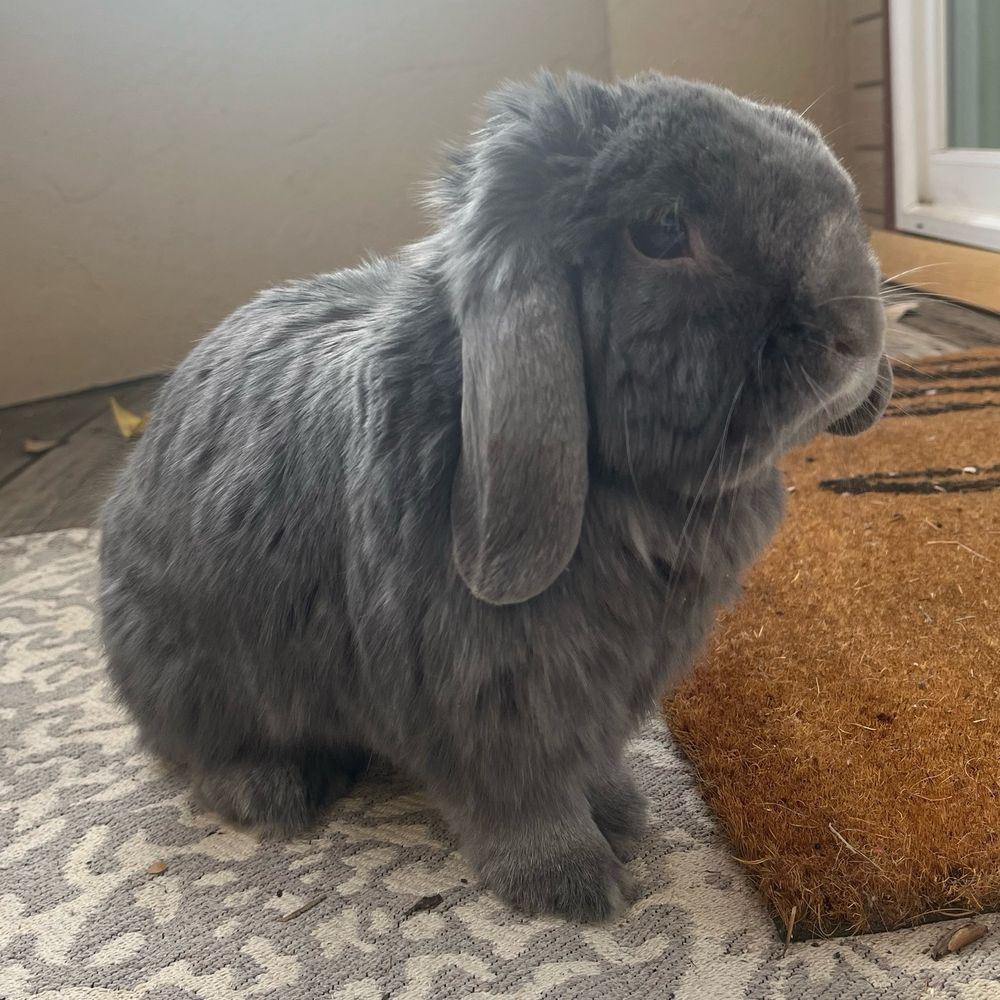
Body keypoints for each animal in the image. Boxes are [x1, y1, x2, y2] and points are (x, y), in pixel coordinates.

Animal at [99, 71, 891, 922]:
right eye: (661, 229)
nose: (855, 331)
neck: (626, 497)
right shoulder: (489, 705)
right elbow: (523, 802)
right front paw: (577, 887)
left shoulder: (595, 700)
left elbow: (591, 768)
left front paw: (624, 817)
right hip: (198, 679)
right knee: (199, 754)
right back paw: (275, 791)